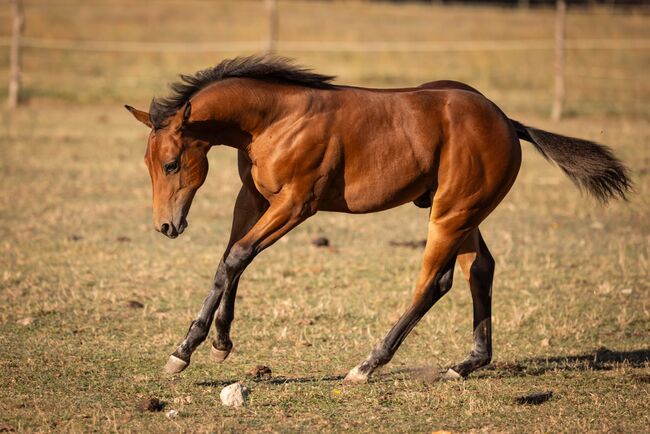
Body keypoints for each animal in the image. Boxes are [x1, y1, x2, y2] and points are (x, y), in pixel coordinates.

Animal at [125, 56, 631, 382]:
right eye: (147, 164)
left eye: (171, 164)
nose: (166, 226)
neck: (275, 120)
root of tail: (508, 121)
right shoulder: (252, 199)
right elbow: (230, 260)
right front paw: (220, 343)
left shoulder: (295, 205)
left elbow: (237, 258)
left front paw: (185, 351)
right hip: (463, 214)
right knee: (479, 269)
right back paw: (465, 364)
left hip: (451, 215)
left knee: (434, 282)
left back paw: (368, 365)